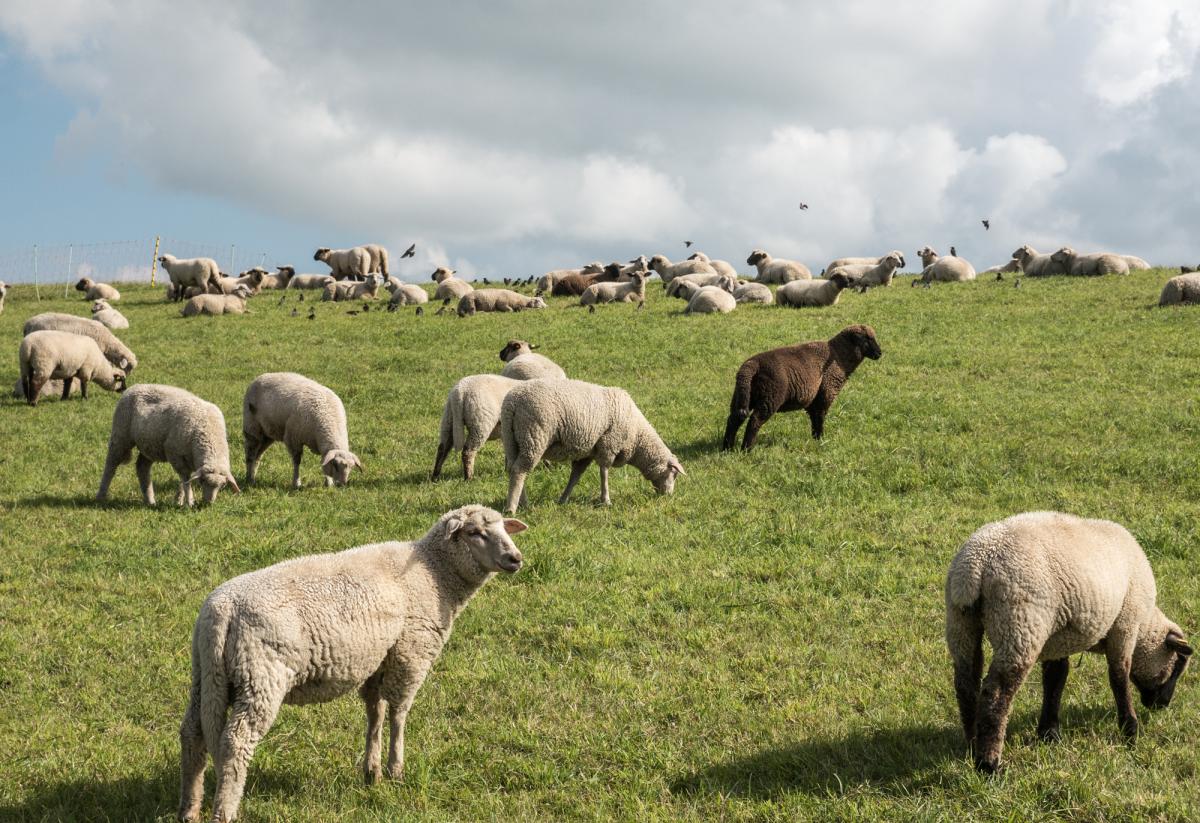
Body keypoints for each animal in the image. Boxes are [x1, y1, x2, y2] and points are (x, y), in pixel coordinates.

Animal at [96, 384, 239, 507]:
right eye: (202, 481)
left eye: (222, 486)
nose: (208, 503)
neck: (208, 431)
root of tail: (134, 386)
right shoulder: (175, 454)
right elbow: (185, 479)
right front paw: (189, 501)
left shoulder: (188, 460)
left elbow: (184, 481)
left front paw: (179, 500)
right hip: (120, 435)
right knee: (111, 465)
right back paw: (101, 496)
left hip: (149, 445)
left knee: (142, 467)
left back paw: (150, 501)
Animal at [177, 505, 526, 822]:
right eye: (475, 532)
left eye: (504, 528)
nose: (516, 558)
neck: (433, 573)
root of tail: (222, 610)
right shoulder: (410, 655)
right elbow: (399, 713)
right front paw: (396, 769)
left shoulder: (379, 659)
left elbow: (375, 712)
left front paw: (372, 772)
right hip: (260, 677)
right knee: (236, 742)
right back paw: (225, 811)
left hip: (208, 676)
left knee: (193, 733)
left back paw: (190, 808)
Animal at [500, 378, 684, 512]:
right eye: (674, 474)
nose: (668, 496)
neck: (638, 438)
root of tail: (513, 402)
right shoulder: (609, 444)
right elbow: (604, 473)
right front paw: (606, 500)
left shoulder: (587, 452)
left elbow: (575, 476)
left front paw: (563, 499)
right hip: (534, 436)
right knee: (520, 470)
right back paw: (513, 508)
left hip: (512, 440)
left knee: (513, 469)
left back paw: (521, 502)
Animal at [722, 324, 881, 450]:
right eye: (867, 339)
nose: (880, 353)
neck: (839, 357)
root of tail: (751, 365)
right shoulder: (825, 394)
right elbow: (820, 418)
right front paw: (821, 440)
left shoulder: (813, 401)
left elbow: (814, 420)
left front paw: (815, 439)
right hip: (770, 397)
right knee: (754, 421)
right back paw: (746, 449)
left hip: (743, 395)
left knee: (734, 419)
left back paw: (727, 448)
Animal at [946, 512, 1193, 774]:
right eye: (1177, 666)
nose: (1163, 704)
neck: (1144, 626)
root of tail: (975, 566)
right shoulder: (1125, 623)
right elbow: (1119, 676)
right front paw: (1130, 732)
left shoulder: (1057, 640)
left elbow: (1055, 679)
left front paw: (1049, 733)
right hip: (1020, 625)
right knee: (996, 694)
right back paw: (989, 765)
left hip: (961, 624)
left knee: (966, 684)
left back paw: (972, 746)